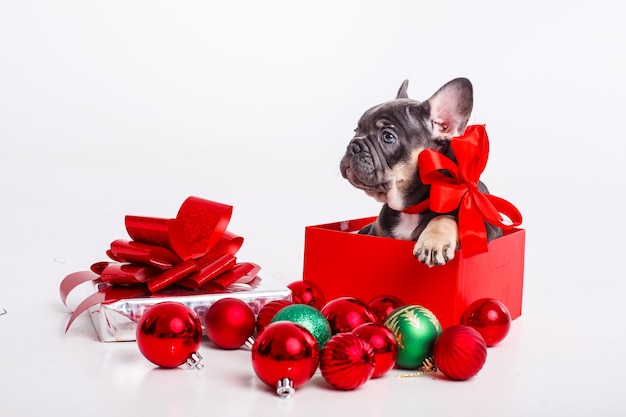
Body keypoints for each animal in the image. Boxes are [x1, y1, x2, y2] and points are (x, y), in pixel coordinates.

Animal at [338, 78, 500, 266]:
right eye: (356, 131)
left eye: (388, 137)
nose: (353, 145)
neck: (409, 210)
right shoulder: (375, 232)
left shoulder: (483, 230)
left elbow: (444, 217)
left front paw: (433, 241)